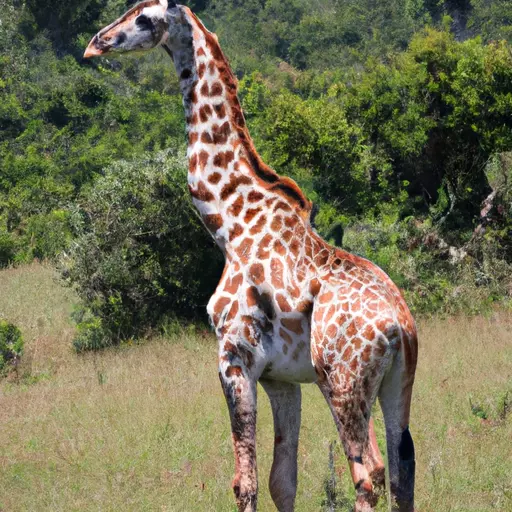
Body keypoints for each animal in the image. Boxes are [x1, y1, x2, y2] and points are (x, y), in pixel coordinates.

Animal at [85, 2, 416, 510]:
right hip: (396, 384)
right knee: (401, 472)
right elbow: (283, 480)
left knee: (369, 472)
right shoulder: (280, 377)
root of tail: (401, 327)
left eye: (144, 19)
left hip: (342, 382)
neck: (228, 224)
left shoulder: (234, 357)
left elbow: (246, 481)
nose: (95, 44)